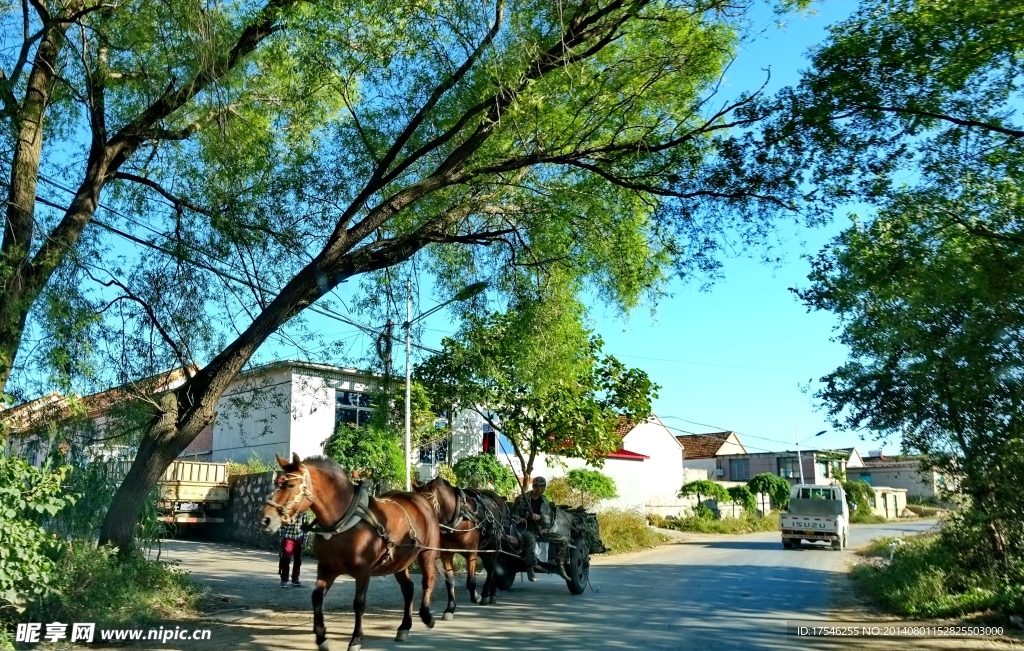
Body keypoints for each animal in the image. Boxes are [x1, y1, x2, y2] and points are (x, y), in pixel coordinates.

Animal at [260, 452, 440, 651]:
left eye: (290, 485)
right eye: (277, 483)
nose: (266, 519)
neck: (343, 520)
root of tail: (421, 500)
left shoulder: (363, 571)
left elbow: (359, 604)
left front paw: (356, 639)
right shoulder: (326, 568)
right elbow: (317, 598)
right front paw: (321, 637)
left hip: (427, 554)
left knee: (427, 581)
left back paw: (427, 616)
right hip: (399, 561)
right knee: (408, 589)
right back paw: (404, 627)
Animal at [411, 474, 507, 614]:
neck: (457, 517)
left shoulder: (471, 553)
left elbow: (471, 581)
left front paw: (476, 596)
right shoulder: (446, 554)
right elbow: (450, 581)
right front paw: (450, 608)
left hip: (494, 545)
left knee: (492, 568)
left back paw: (485, 594)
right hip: (484, 549)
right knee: (490, 568)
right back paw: (492, 593)